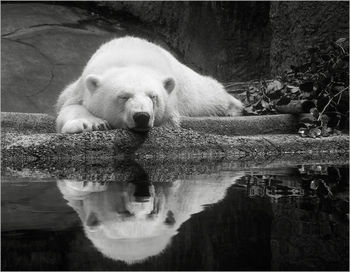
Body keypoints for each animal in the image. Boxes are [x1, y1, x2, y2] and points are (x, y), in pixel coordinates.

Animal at [56, 36, 243, 134]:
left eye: (153, 96)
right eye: (124, 96)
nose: (142, 116)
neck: (129, 60)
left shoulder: (171, 100)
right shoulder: (80, 88)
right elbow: (69, 107)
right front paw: (91, 124)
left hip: (189, 85)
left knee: (209, 95)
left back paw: (233, 109)